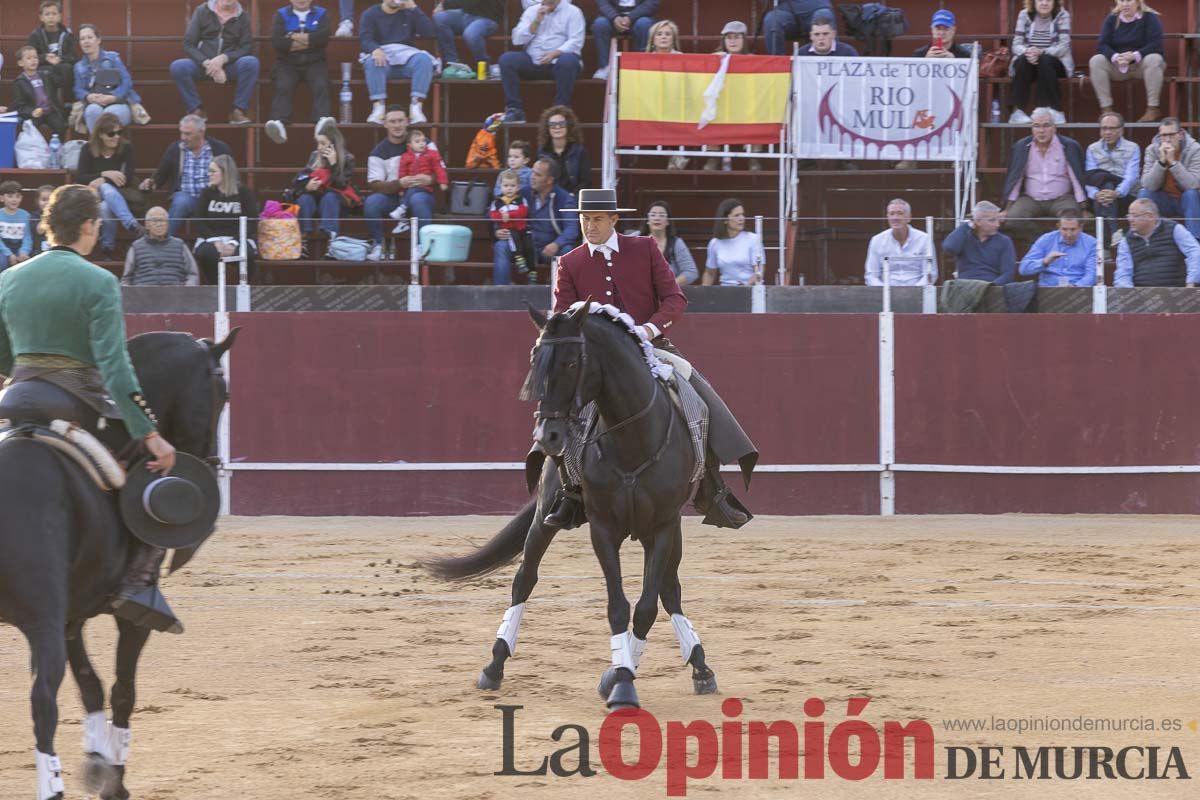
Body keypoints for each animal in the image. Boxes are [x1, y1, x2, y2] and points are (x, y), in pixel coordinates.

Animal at [0, 328, 236, 796]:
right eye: (224, 394)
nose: (209, 462)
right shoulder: (127, 616)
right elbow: (123, 689)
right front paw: (114, 778)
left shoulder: (71, 614)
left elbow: (89, 685)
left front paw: (96, 760)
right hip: (42, 620)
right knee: (43, 701)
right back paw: (52, 787)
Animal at [429, 303, 715, 710]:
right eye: (535, 360)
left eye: (570, 362)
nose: (547, 436)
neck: (632, 441)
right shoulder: (603, 528)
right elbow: (617, 605)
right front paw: (622, 681)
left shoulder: (663, 526)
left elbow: (646, 604)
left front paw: (620, 675)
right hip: (545, 517)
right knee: (524, 579)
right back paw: (494, 665)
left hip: (667, 532)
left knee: (669, 590)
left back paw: (700, 667)